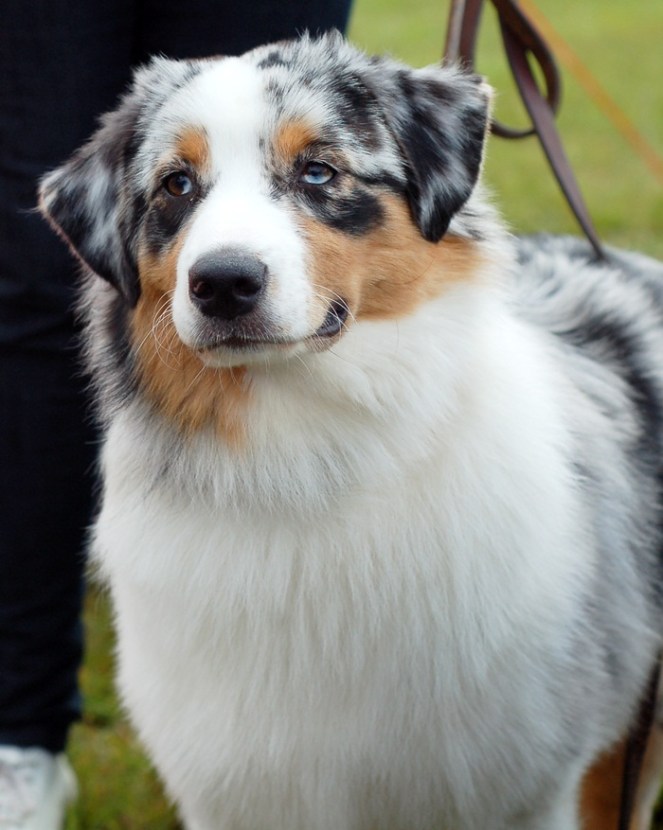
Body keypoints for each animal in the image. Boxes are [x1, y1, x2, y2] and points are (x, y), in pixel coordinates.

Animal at [39, 32, 663, 830]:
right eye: (176, 186)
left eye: (318, 170)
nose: (223, 283)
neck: (306, 449)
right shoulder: (237, 785)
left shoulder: (524, 782)